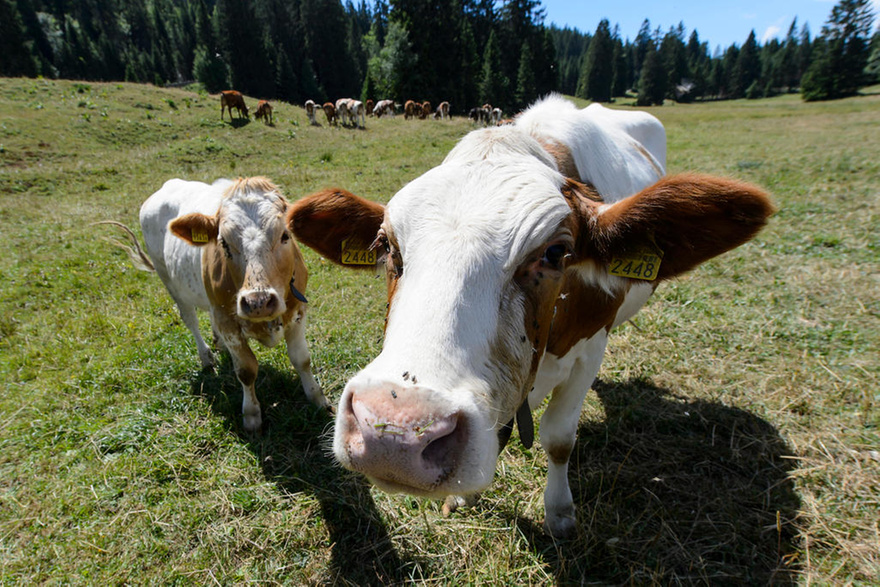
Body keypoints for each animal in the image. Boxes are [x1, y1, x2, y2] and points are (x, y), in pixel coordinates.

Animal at [102, 177, 330, 433]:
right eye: (224, 243)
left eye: (284, 235)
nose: (258, 302)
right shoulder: (228, 322)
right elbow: (246, 370)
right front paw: (251, 415)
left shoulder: (298, 312)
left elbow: (302, 359)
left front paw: (318, 399)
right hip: (169, 281)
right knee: (190, 320)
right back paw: (206, 357)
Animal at [288, 95, 774, 537]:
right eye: (386, 245)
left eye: (555, 253)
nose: (396, 435)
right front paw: (465, 496)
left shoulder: (589, 352)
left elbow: (558, 439)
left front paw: (559, 514)